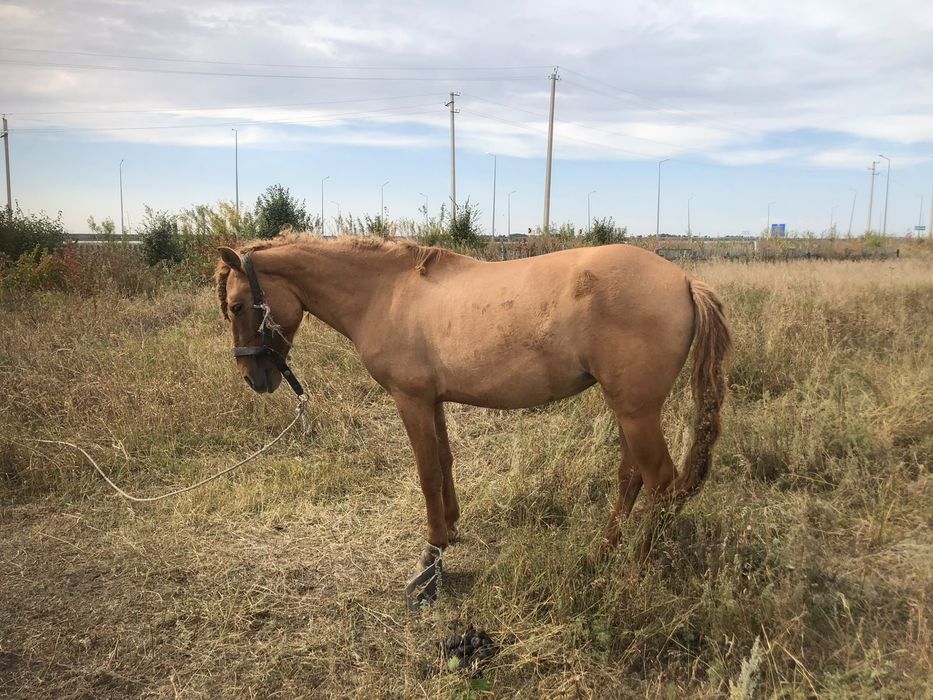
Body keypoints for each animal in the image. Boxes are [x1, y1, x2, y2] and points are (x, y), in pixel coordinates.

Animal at [215, 234, 730, 607]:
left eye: (237, 306)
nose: (254, 379)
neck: (387, 293)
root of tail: (685, 280)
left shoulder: (411, 400)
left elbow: (426, 474)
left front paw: (430, 560)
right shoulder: (433, 400)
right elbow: (443, 462)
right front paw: (451, 528)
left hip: (637, 412)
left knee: (660, 482)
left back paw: (633, 573)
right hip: (628, 409)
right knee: (631, 477)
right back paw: (601, 553)